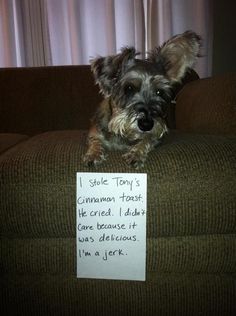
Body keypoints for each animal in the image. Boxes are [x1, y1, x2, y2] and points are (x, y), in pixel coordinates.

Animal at [83, 31, 201, 169]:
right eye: (129, 88)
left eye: (159, 92)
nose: (146, 124)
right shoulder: (94, 131)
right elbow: (95, 141)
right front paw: (93, 154)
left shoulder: (156, 136)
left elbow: (146, 140)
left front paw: (136, 154)